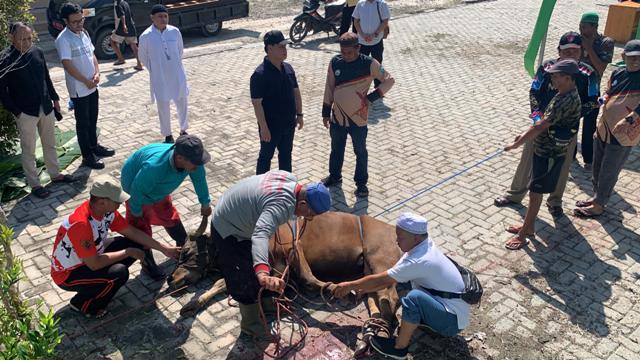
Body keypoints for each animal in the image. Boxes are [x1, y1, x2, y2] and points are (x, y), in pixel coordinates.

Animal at [169, 211, 400, 354]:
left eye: (186, 251)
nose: (170, 278)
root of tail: (393, 229)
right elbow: (220, 284)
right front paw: (192, 305)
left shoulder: (292, 247)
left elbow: (308, 276)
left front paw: (330, 287)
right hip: (369, 272)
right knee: (377, 303)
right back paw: (368, 337)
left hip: (380, 263)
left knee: (391, 300)